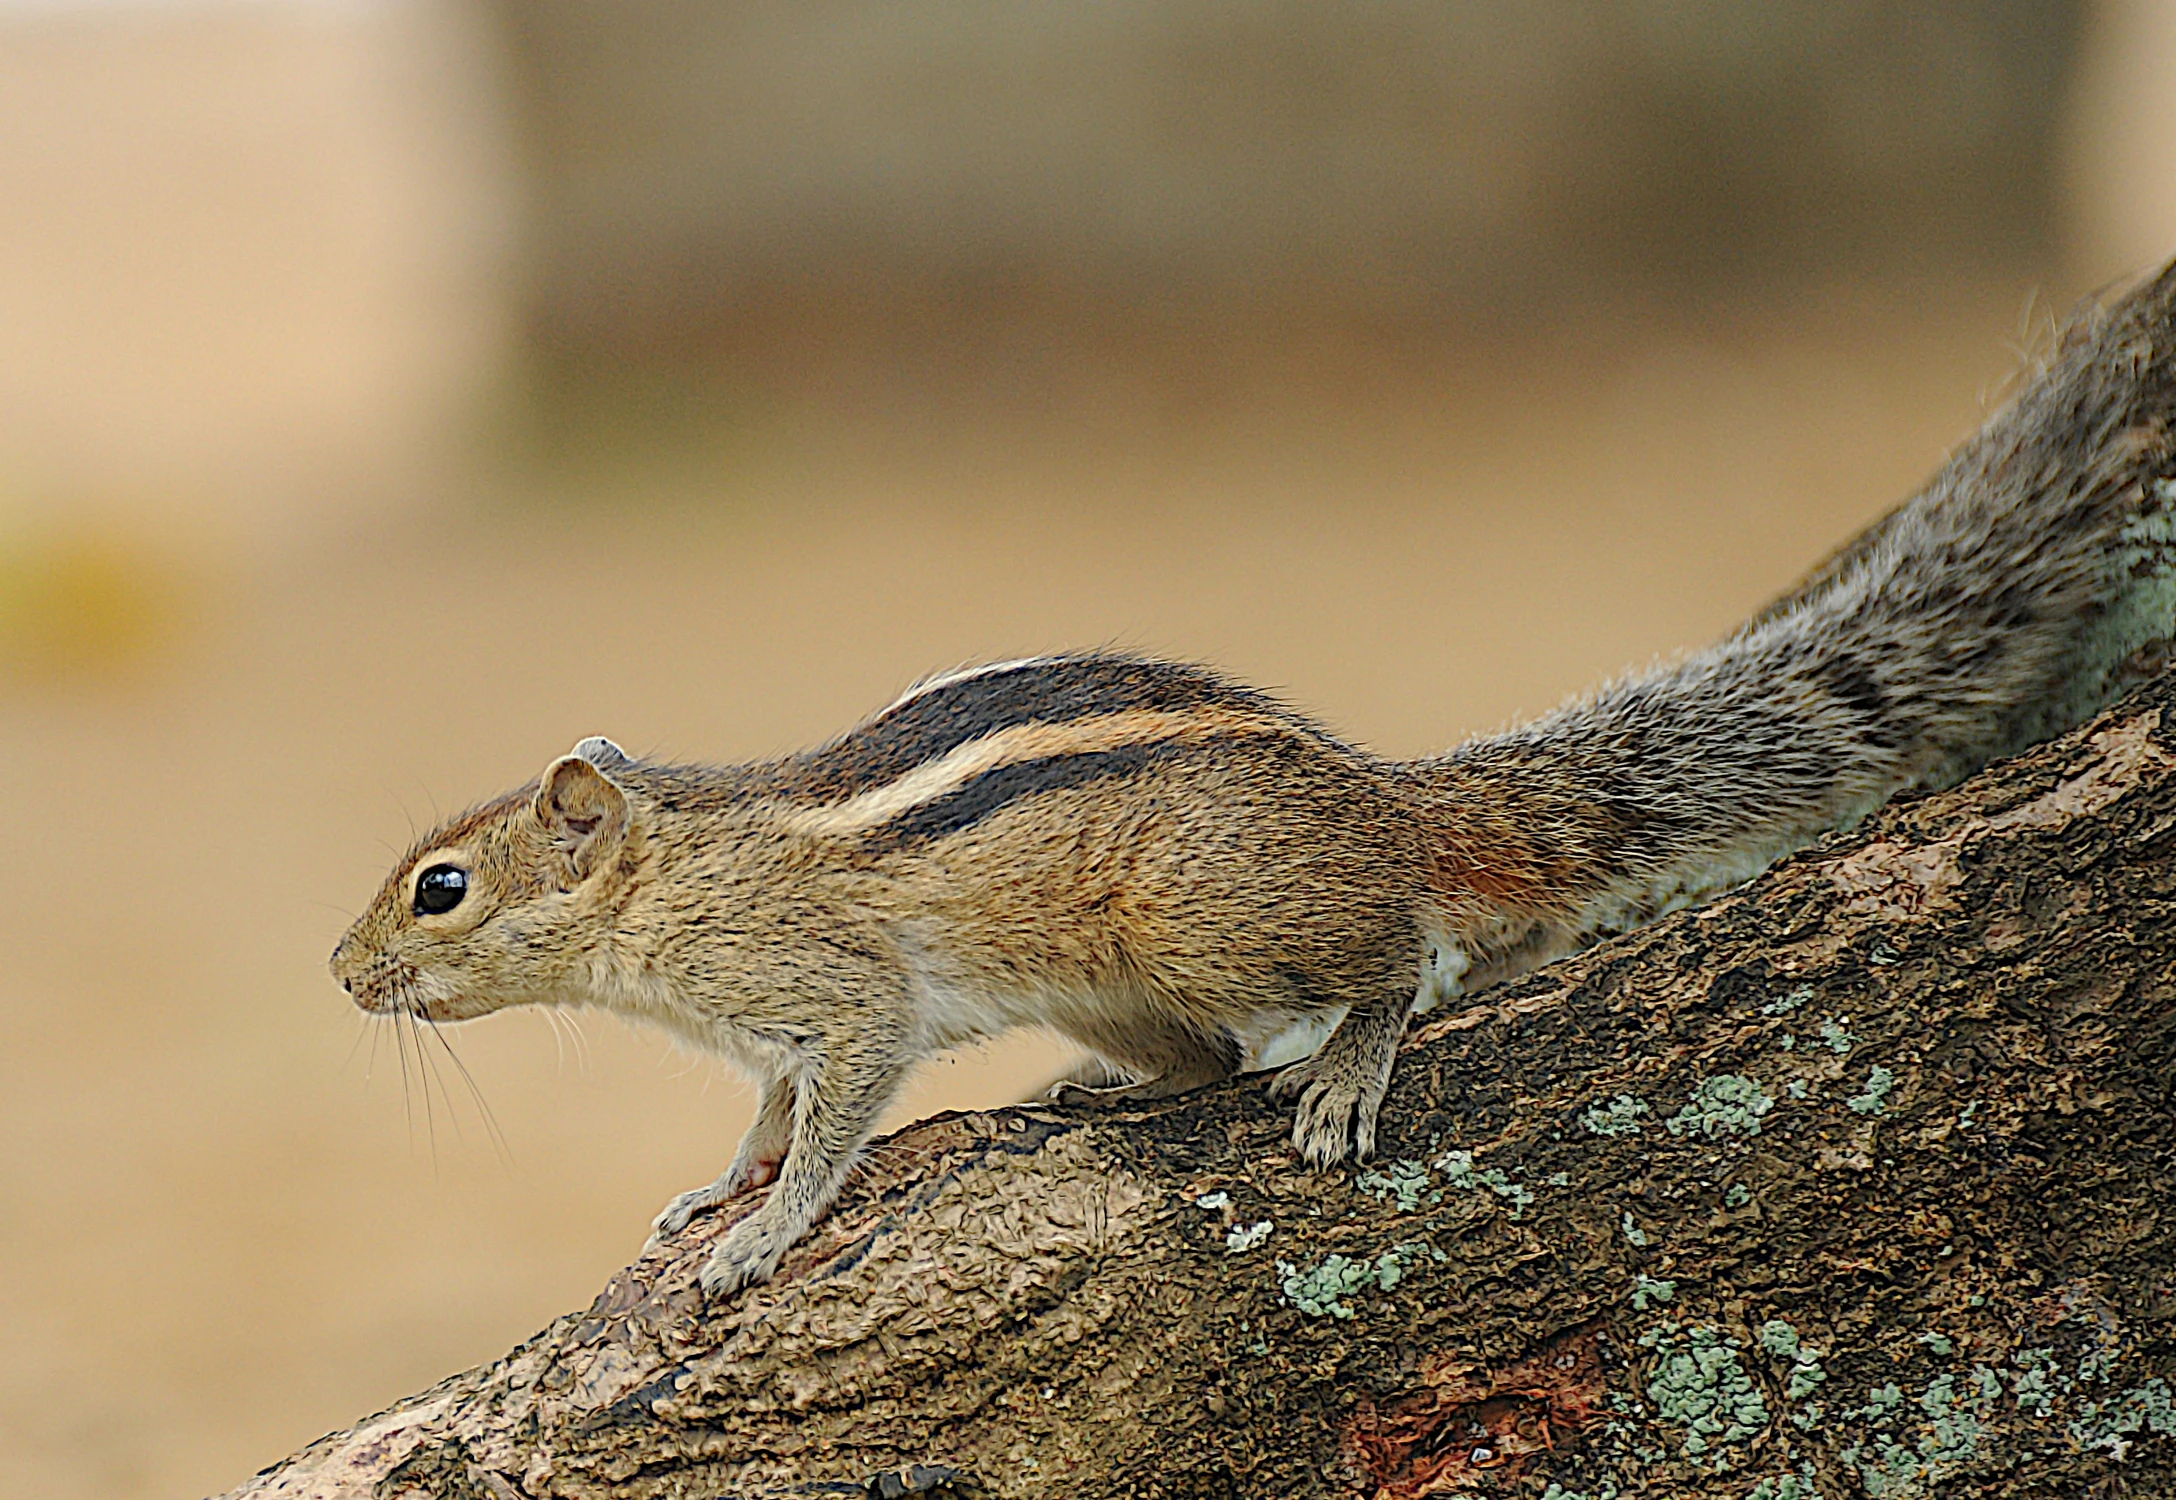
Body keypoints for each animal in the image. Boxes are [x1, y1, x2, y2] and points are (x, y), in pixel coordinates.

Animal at [330, 263, 2176, 1288]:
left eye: (441, 888)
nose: (339, 972)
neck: (677, 879)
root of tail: (1393, 799)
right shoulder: (766, 1036)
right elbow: (762, 1121)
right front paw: (708, 1195)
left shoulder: (839, 1001)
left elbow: (830, 1124)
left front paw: (766, 1240)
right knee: (1217, 1045)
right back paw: (1109, 1089)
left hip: (1202, 915)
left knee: (1396, 960)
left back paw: (1349, 1062)